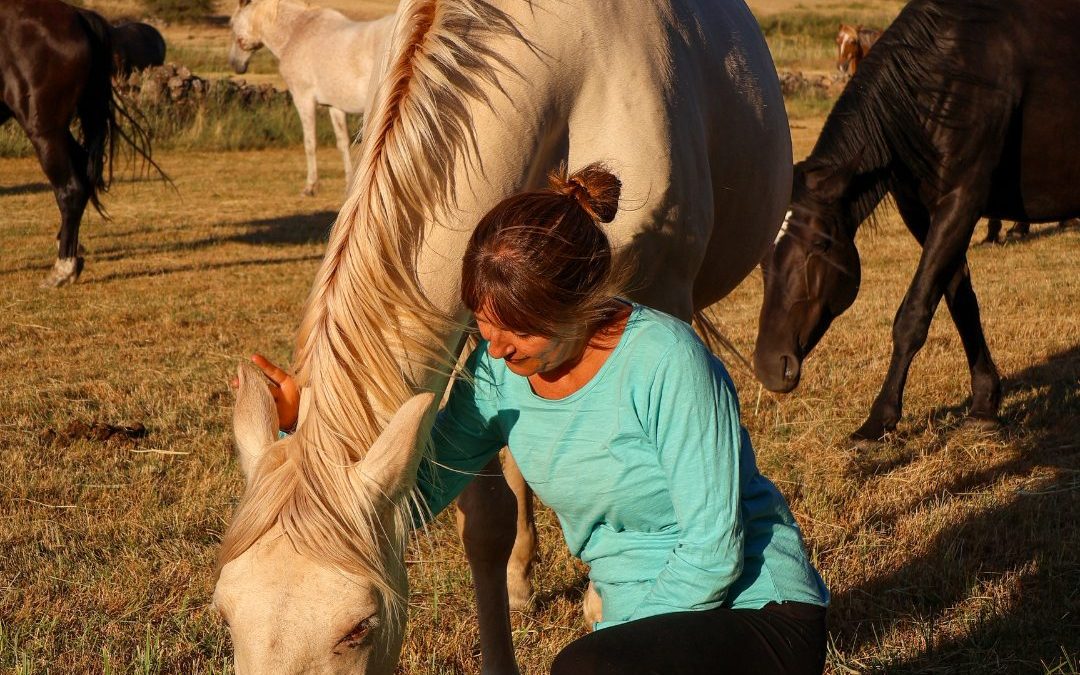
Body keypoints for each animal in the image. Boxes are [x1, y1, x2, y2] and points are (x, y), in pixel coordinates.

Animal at [228, 0, 395, 197]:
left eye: (231, 23)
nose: (234, 64)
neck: (296, 32)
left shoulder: (303, 99)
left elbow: (310, 143)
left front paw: (311, 187)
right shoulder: (335, 106)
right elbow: (343, 143)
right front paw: (349, 185)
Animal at [754, 0, 1080, 442]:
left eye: (820, 244)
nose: (768, 366)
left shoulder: (961, 201)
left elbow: (912, 314)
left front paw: (879, 418)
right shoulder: (923, 213)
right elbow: (960, 301)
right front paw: (984, 404)